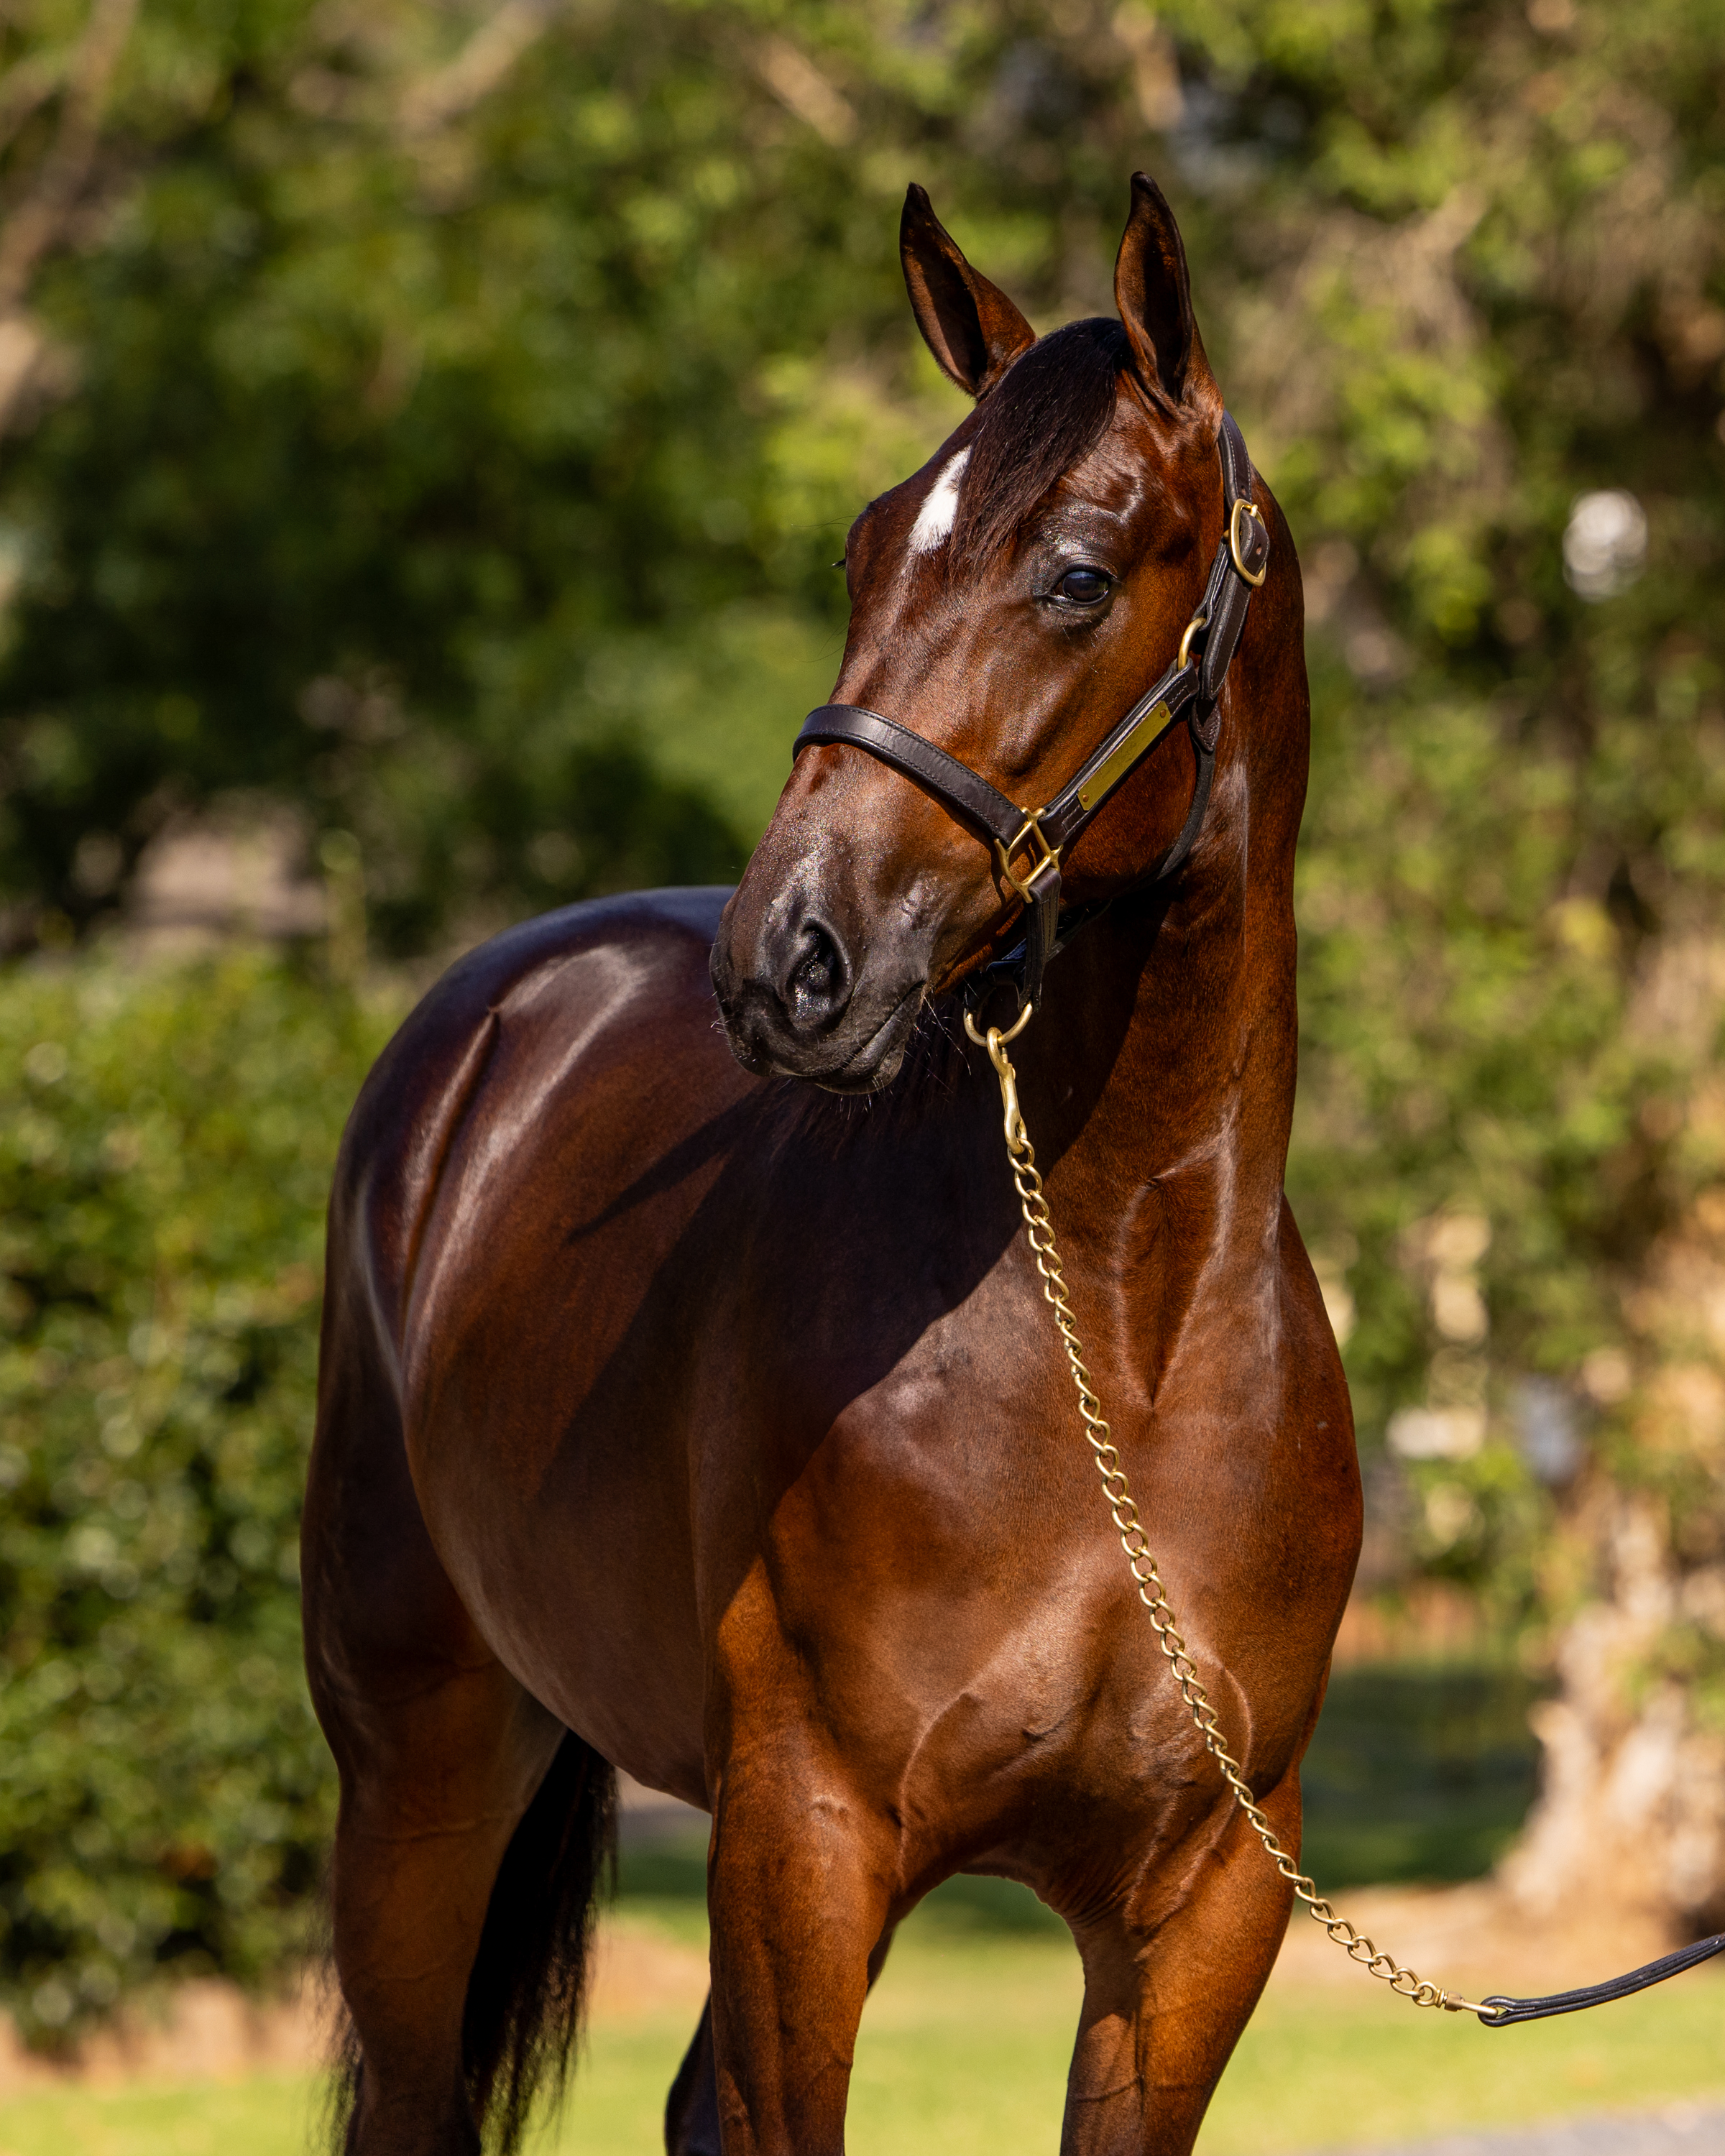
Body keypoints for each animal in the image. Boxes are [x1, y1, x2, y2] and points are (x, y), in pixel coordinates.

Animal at [302, 171, 1359, 2156]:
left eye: (1075, 572)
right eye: (869, 551)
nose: (787, 956)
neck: (1122, 1331)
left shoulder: (1198, 1911)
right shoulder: (806, 1847)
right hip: (418, 1775)